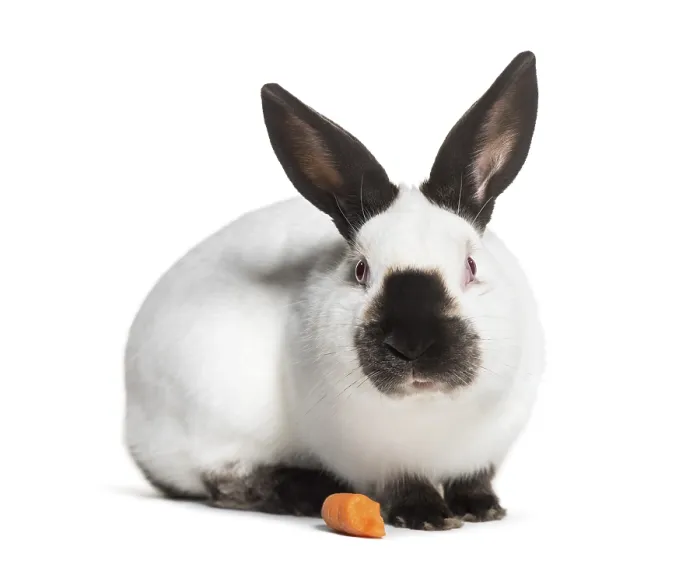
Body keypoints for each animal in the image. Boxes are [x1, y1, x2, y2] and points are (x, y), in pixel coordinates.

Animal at [123, 50, 544, 531]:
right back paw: (308, 493)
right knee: (227, 482)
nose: (413, 343)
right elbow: (405, 485)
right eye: (360, 270)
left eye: (471, 266)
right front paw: (426, 516)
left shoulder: (486, 450)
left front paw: (482, 508)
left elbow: (474, 479)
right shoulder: (379, 459)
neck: (428, 410)